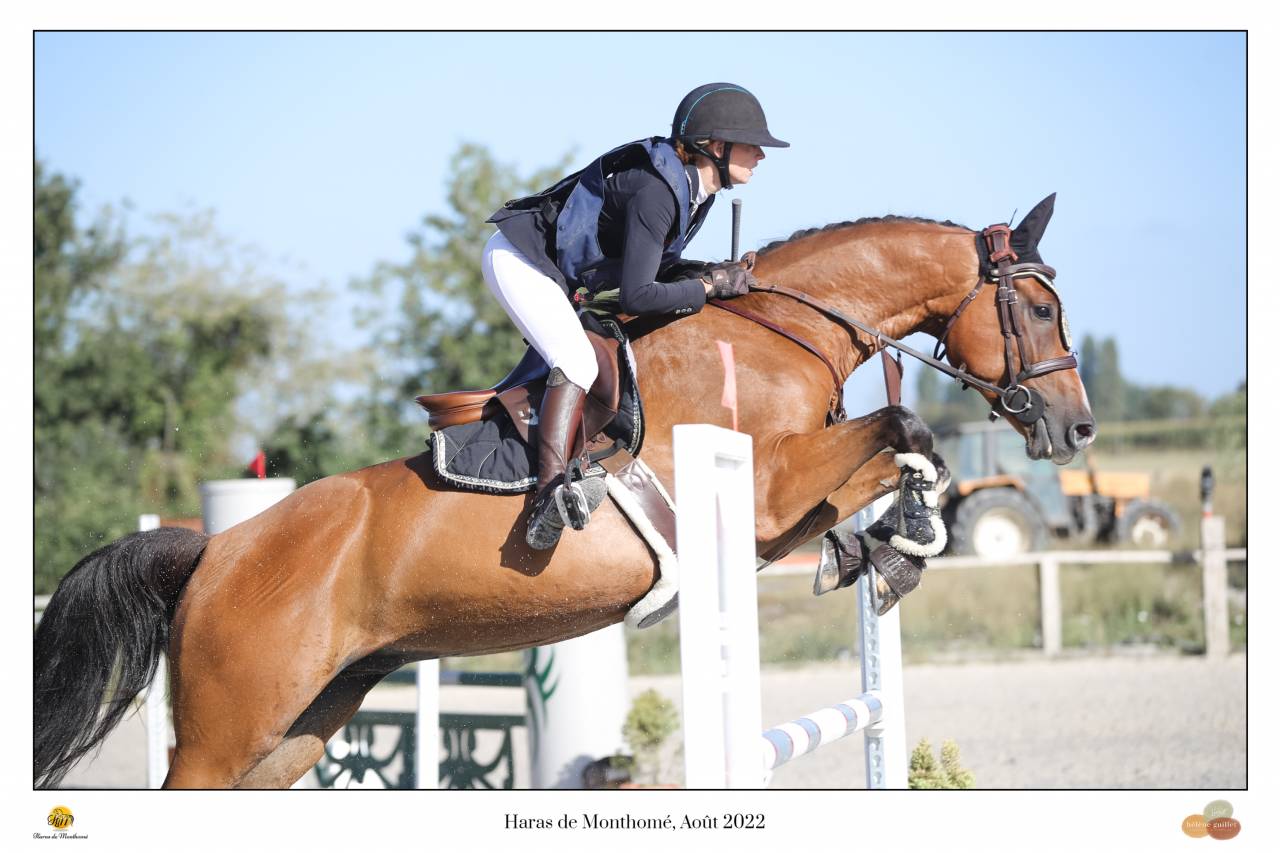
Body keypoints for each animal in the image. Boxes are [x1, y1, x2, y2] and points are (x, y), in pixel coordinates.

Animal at [34, 196, 1094, 789]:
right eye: (1041, 309)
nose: (1077, 429)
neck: (774, 332)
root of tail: (215, 549)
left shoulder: (780, 507)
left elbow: (889, 465)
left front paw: (882, 552)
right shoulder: (761, 485)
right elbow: (906, 428)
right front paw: (900, 541)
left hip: (299, 729)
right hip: (224, 737)